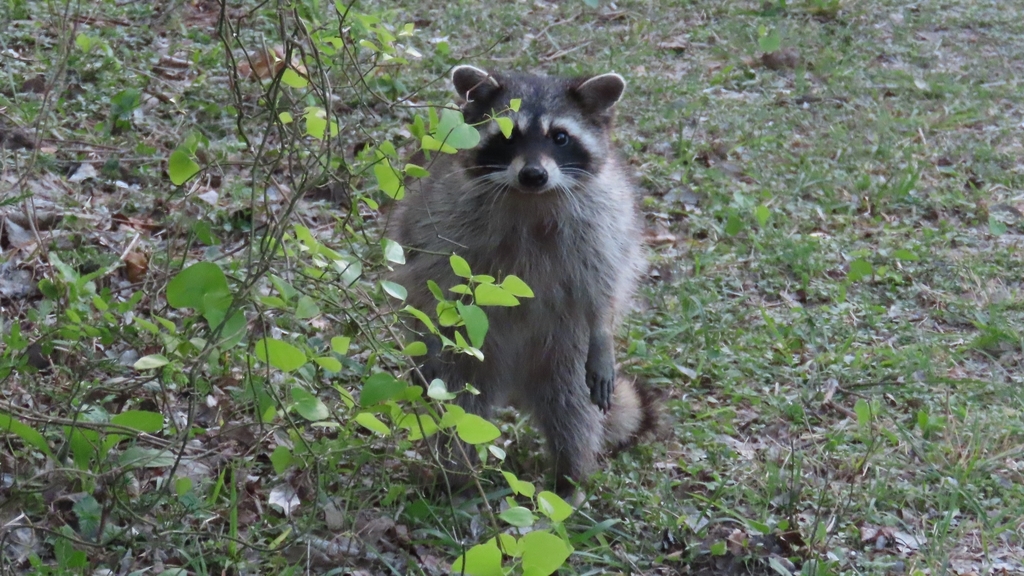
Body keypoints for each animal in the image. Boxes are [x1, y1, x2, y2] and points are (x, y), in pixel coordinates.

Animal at [389, 65, 656, 493]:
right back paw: (459, 476)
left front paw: (604, 328)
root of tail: (514, 382)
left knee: (571, 406)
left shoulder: (604, 219)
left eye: (560, 137)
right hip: (472, 350)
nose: (534, 174)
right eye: (508, 135)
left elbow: (603, 282)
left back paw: (569, 478)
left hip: (565, 344)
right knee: (460, 403)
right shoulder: (440, 213)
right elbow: (429, 277)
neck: (531, 198)